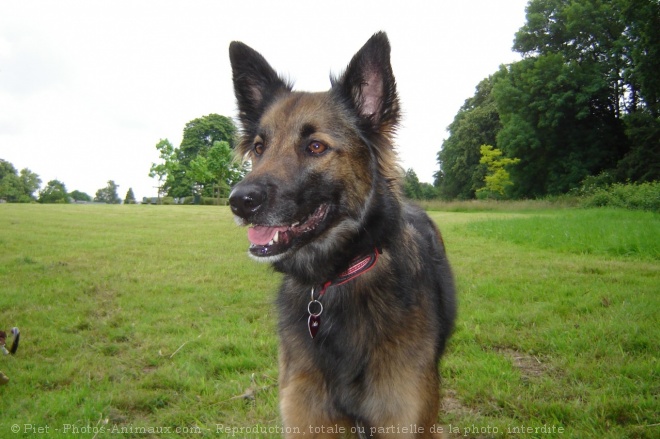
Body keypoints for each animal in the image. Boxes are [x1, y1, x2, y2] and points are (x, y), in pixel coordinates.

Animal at [229, 32, 456, 438]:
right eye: (259, 147)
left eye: (315, 146)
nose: (239, 201)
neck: (334, 282)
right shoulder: (311, 417)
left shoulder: (405, 417)